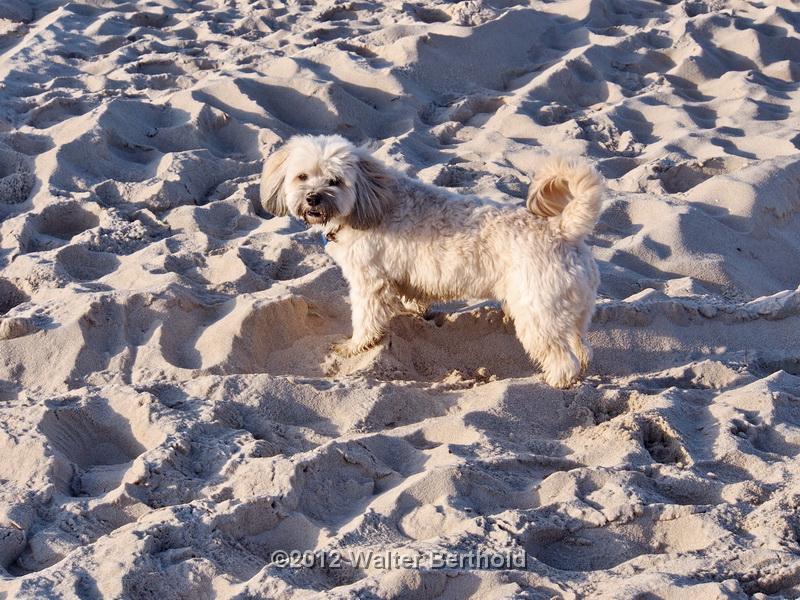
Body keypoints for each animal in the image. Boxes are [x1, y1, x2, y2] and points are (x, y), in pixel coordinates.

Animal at [260, 135, 604, 390]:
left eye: (334, 181)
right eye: (302, 176)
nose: (313, 198)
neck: (368, 203)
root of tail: (563, 229)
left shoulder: (369, 281)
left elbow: (366, 318)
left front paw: (357, 346)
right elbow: (413, 297)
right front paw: (415, 312)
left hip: (536, 313)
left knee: (562, 357)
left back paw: (556, 381)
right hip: (571, 312)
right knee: (581, 346)